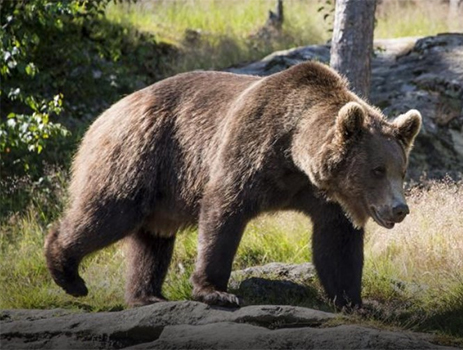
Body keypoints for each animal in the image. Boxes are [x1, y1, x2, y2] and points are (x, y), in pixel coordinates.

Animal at [45, 61, 422, 308]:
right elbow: (224, 211)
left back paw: (147, 294)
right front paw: (216, 290)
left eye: (401, 170)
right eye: (377, 169)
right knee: (109, 212)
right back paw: (68, 273)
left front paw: (356, 301)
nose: (399, 209)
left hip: (161, 188)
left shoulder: (323, 195)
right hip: (140, 155)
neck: (293, 154)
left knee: (153, 238)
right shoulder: (249, 150)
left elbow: (337, 243)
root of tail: (107, 112)